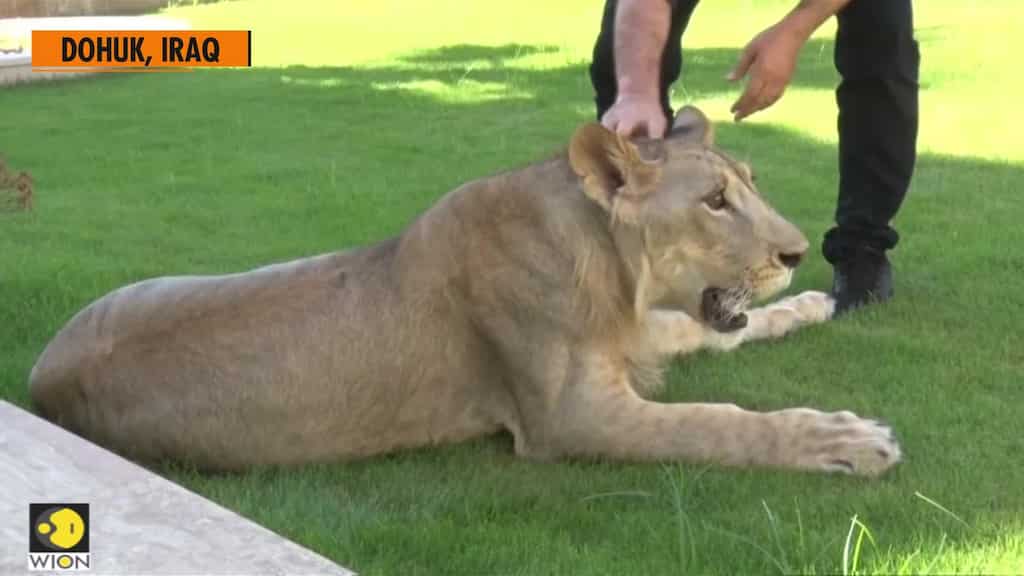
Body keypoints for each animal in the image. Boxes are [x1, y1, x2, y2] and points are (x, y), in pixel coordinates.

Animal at [28, 107, 900, 477]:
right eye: (714, 201)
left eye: (750, 182)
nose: (797, 252)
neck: (611, 268)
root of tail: (39, 377)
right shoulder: (568, 417)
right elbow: (715, 422)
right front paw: (847, 439)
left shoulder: (633, 338)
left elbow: (714, 333)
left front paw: (812, 304)